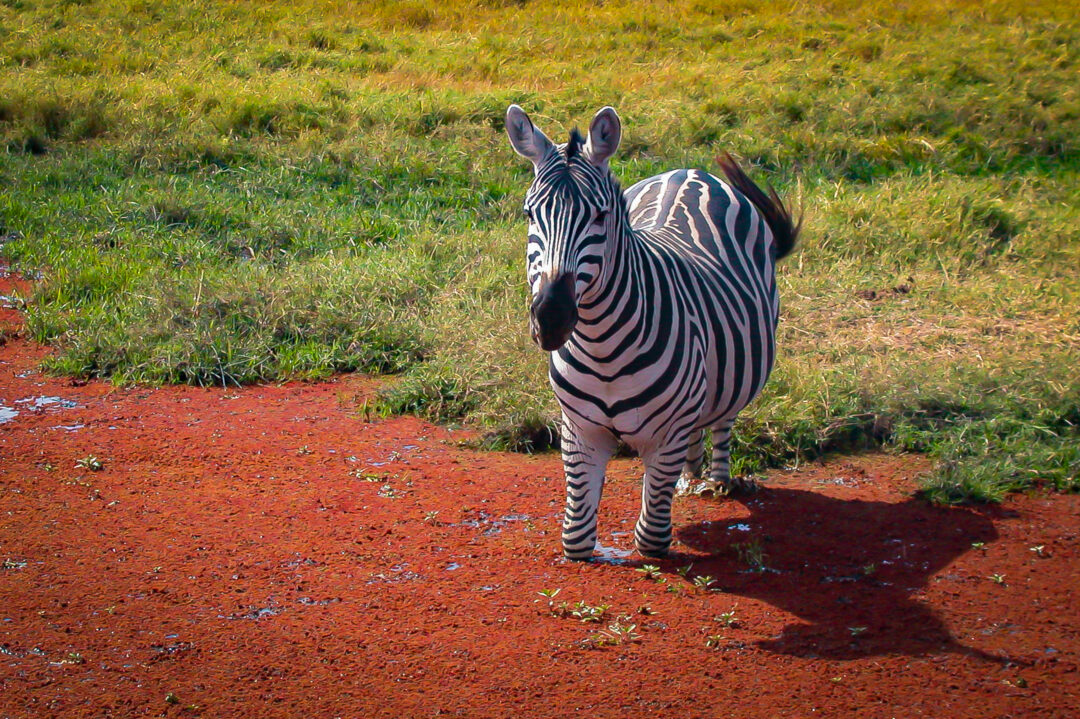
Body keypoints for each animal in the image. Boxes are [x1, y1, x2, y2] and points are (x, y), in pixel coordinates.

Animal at [505, 104, 800, 560]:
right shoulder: (580, 431)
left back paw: (717, 481)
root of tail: (691, 171)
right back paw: (691, 476)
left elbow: (652, 539)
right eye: (529, 214)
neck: (602, 347)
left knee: (723, 419)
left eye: (600, 216)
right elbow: (576, 539)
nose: (551, 318)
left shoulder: (665, 436)